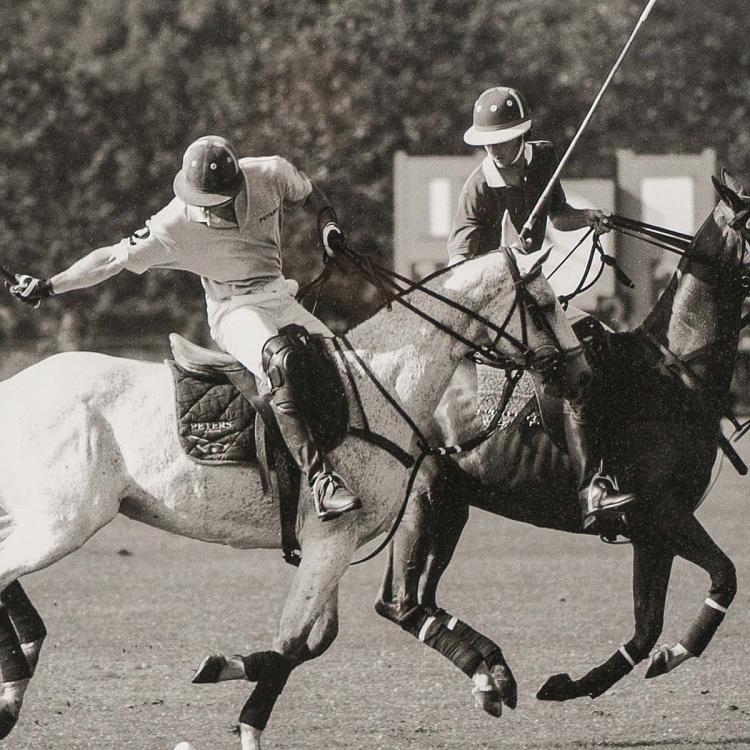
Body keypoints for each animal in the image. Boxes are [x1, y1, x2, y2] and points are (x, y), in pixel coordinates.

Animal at [0, 228, 584, 748]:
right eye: (545, 303)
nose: (576, 370)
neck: (384, 384)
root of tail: (13, 387)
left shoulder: (331, 544)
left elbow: (315, 641)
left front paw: (491, 678)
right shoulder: (332, 537)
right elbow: (294, 639)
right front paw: (246, 722)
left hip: (38, 515)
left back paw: (19, 670)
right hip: (65, 521)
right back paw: (16, 678)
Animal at [378, 172, 750, 716]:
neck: (676, 370)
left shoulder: (652, 529)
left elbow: (646, 627)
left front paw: (573, 684)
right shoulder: (659, 508)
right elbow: (725, 574)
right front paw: (677, 652)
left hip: (452, 503)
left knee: (413, 598)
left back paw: (490, 675)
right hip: (423, 496)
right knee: (401, 602)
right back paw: (492, 672)